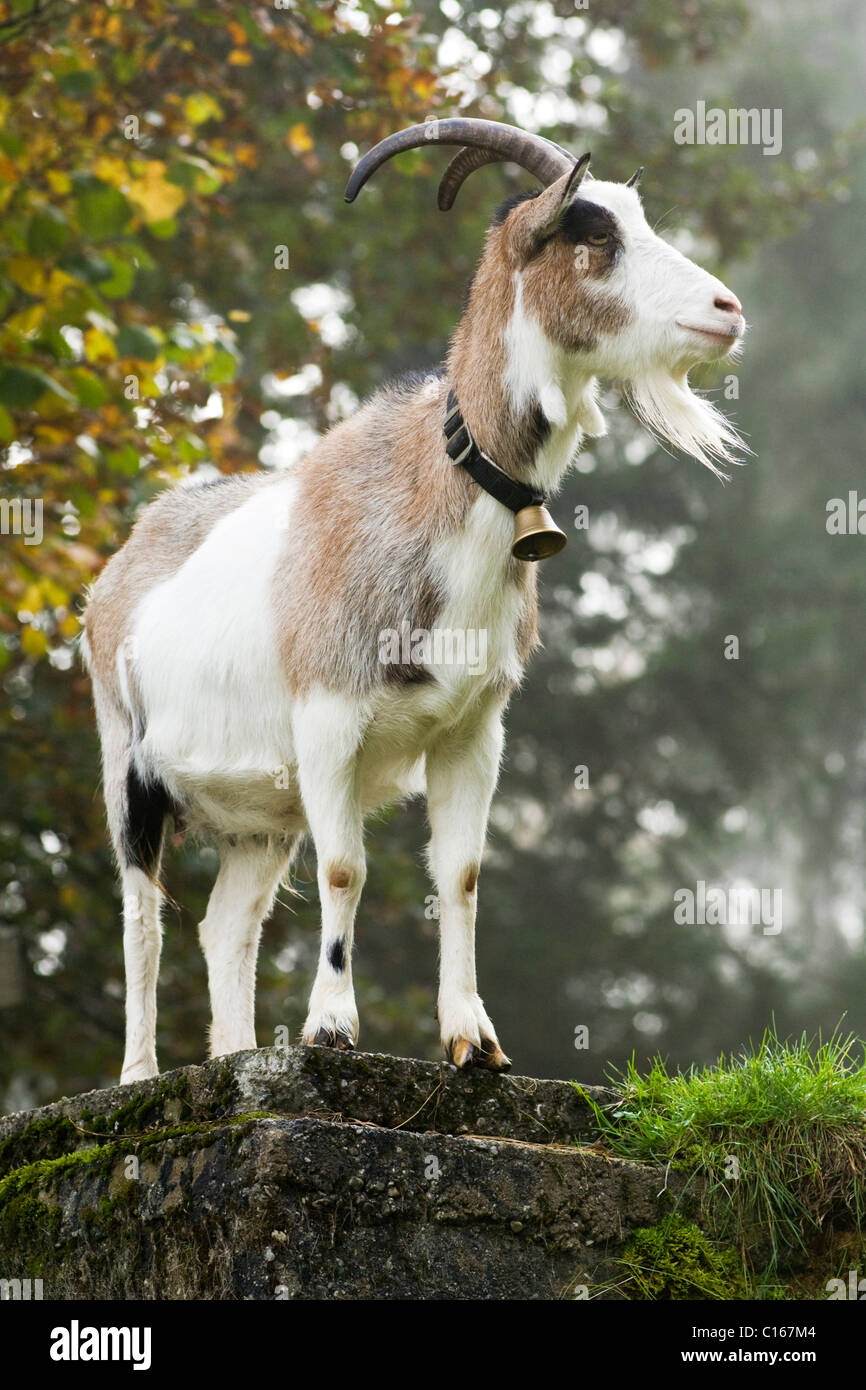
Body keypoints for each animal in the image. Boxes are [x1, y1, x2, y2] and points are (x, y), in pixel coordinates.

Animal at [81, 119, 745, 1078]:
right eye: (592, 232)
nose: (727, 311)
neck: (438, 486)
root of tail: (120, 566)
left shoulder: (473, 729)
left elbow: (460, 874)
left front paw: (475, 1039)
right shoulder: (329, 717)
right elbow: (345, 870)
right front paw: (330, 1028)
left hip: (261, 812)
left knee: (224, 925)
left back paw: (235, 1057)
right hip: (125, 757)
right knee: (142, 913)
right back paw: (141, 1075)